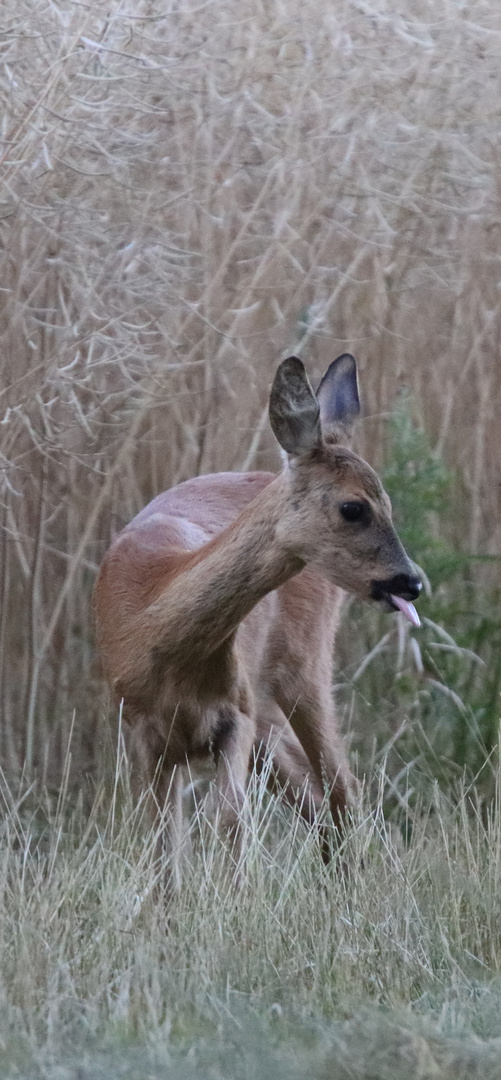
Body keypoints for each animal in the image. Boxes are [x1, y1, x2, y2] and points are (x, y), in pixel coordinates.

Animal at [92, 354, 418, 885]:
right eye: (354, 507)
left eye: (388, 502)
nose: (411, 581)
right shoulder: (140, 725)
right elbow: (164, 841)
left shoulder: (235, 712)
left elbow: (230, 819)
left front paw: (235, 895)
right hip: (267, 707)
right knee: (313, 791)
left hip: (303, 666)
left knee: (340, 785)